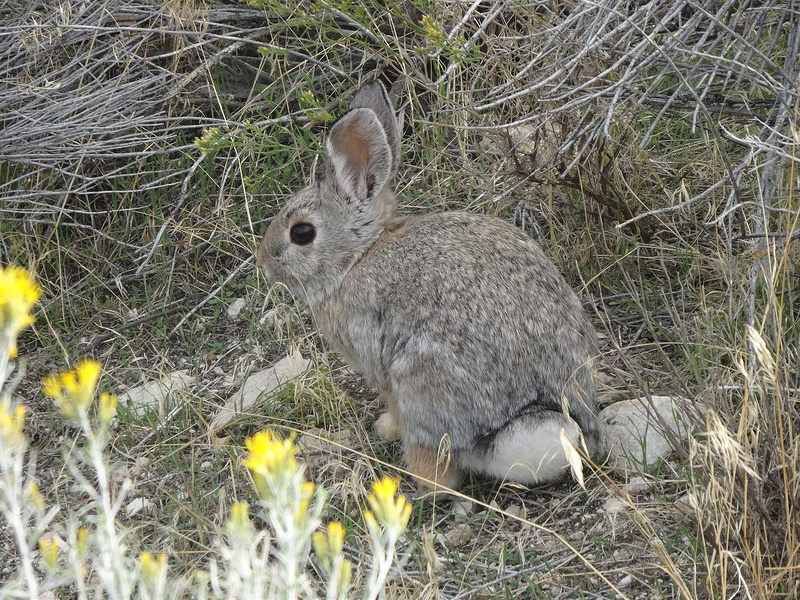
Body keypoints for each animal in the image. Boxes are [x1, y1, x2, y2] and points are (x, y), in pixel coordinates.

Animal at [258, 81, 600, 492]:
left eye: (302, 233)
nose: (263, 263)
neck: (359, 255)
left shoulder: (378, 363)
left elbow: (390, 401)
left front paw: (385, 427)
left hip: (419, 380)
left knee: (437, 465)